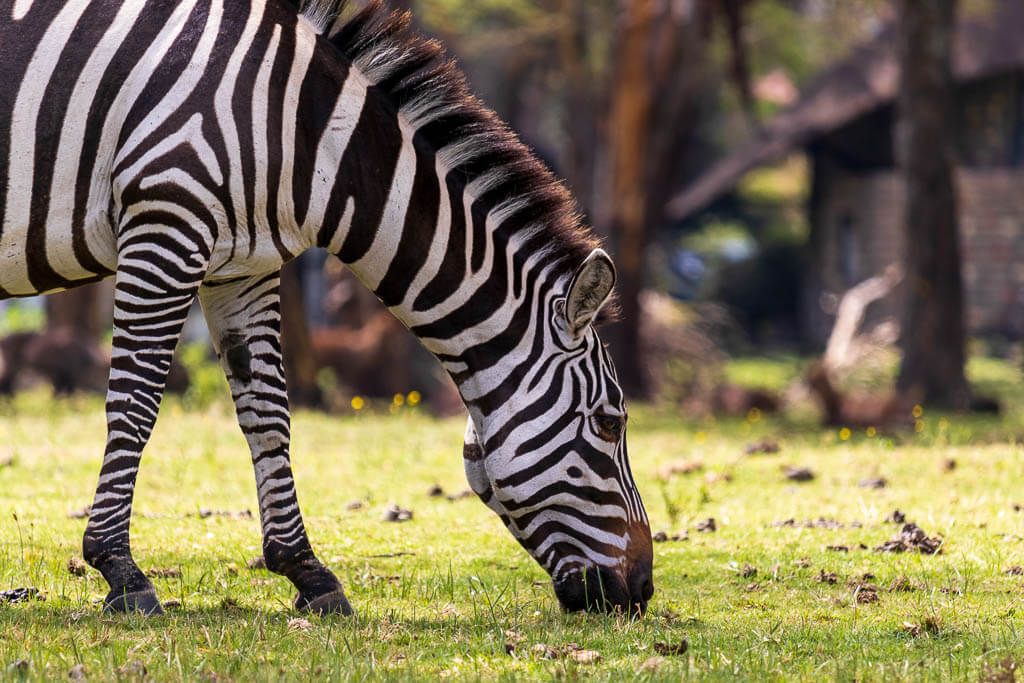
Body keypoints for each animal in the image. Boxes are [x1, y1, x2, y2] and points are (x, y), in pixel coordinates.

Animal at [1, 0, 654, 616]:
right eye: (610, 423)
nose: (643, 590)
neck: (303, 132)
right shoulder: (166, 221)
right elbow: (134, 406)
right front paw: (120, 570)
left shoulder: (242, 265)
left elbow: (268, 415)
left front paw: (307, 573)